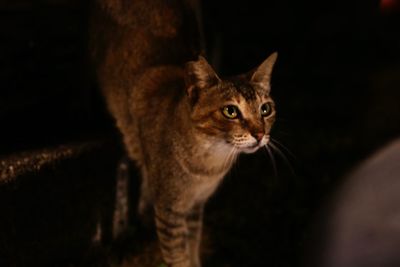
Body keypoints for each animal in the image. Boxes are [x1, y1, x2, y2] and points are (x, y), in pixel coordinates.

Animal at [90, 0, 278, 266]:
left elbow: (193, 244)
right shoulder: (169, 211)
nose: (260, 134)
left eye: (265, 109)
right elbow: (177, 255)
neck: (209, 163)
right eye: (230, 111)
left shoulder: (195, 206)